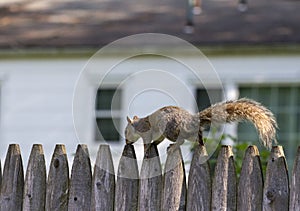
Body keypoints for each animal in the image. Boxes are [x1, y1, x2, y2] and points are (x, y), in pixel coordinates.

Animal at [123, 98, 276, 150]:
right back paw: (201, 144)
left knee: (181, 140)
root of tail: (191, 120)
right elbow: (158, 140)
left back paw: (174, 146)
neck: (138, 124)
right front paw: (155, 144)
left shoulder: (146, 131)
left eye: (125, 132)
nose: (126, 142)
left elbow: (147, 141)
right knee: (198, 137)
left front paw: (147, 147)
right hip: (188, 133)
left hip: (170, 129)